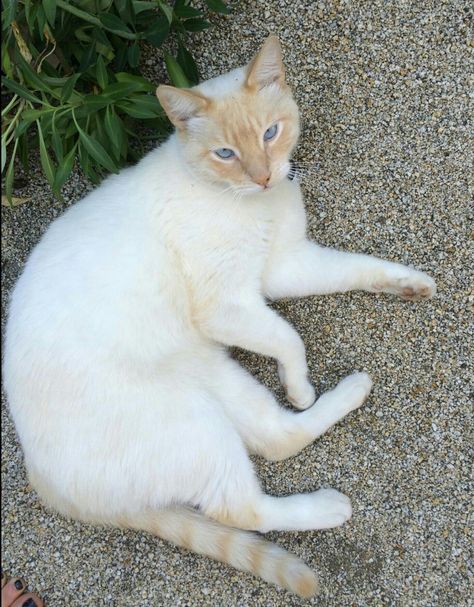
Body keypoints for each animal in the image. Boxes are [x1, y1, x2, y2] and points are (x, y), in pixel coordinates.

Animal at [2, 35, 436, 596]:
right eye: (226, 154)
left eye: (271, 133)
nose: (265, 176)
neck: (252, 202)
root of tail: (42, 480)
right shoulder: (228, 303)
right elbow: (290, 338)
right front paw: (299, 383)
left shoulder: (285, 267)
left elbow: (355, 269)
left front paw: (410, 283)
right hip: (195, 422)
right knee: (241, 508)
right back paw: (327, 503)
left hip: (214, 381)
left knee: (277, 439)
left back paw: (351, 393)